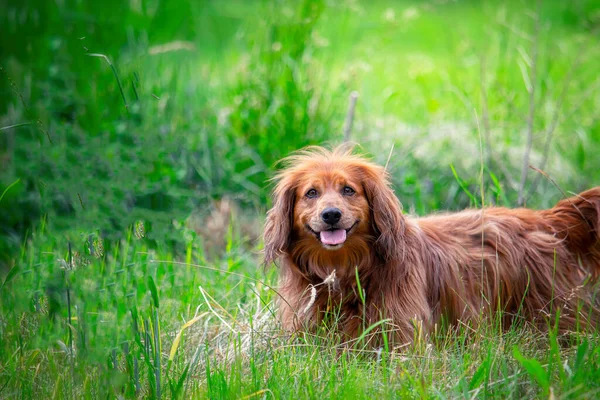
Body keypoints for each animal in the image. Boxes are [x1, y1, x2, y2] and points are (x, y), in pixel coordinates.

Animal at [264, 145, 600, 346]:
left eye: (348, 190)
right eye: (311, 193)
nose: (331, 215)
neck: (348, 268)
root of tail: (546, 219)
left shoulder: (403, 335)